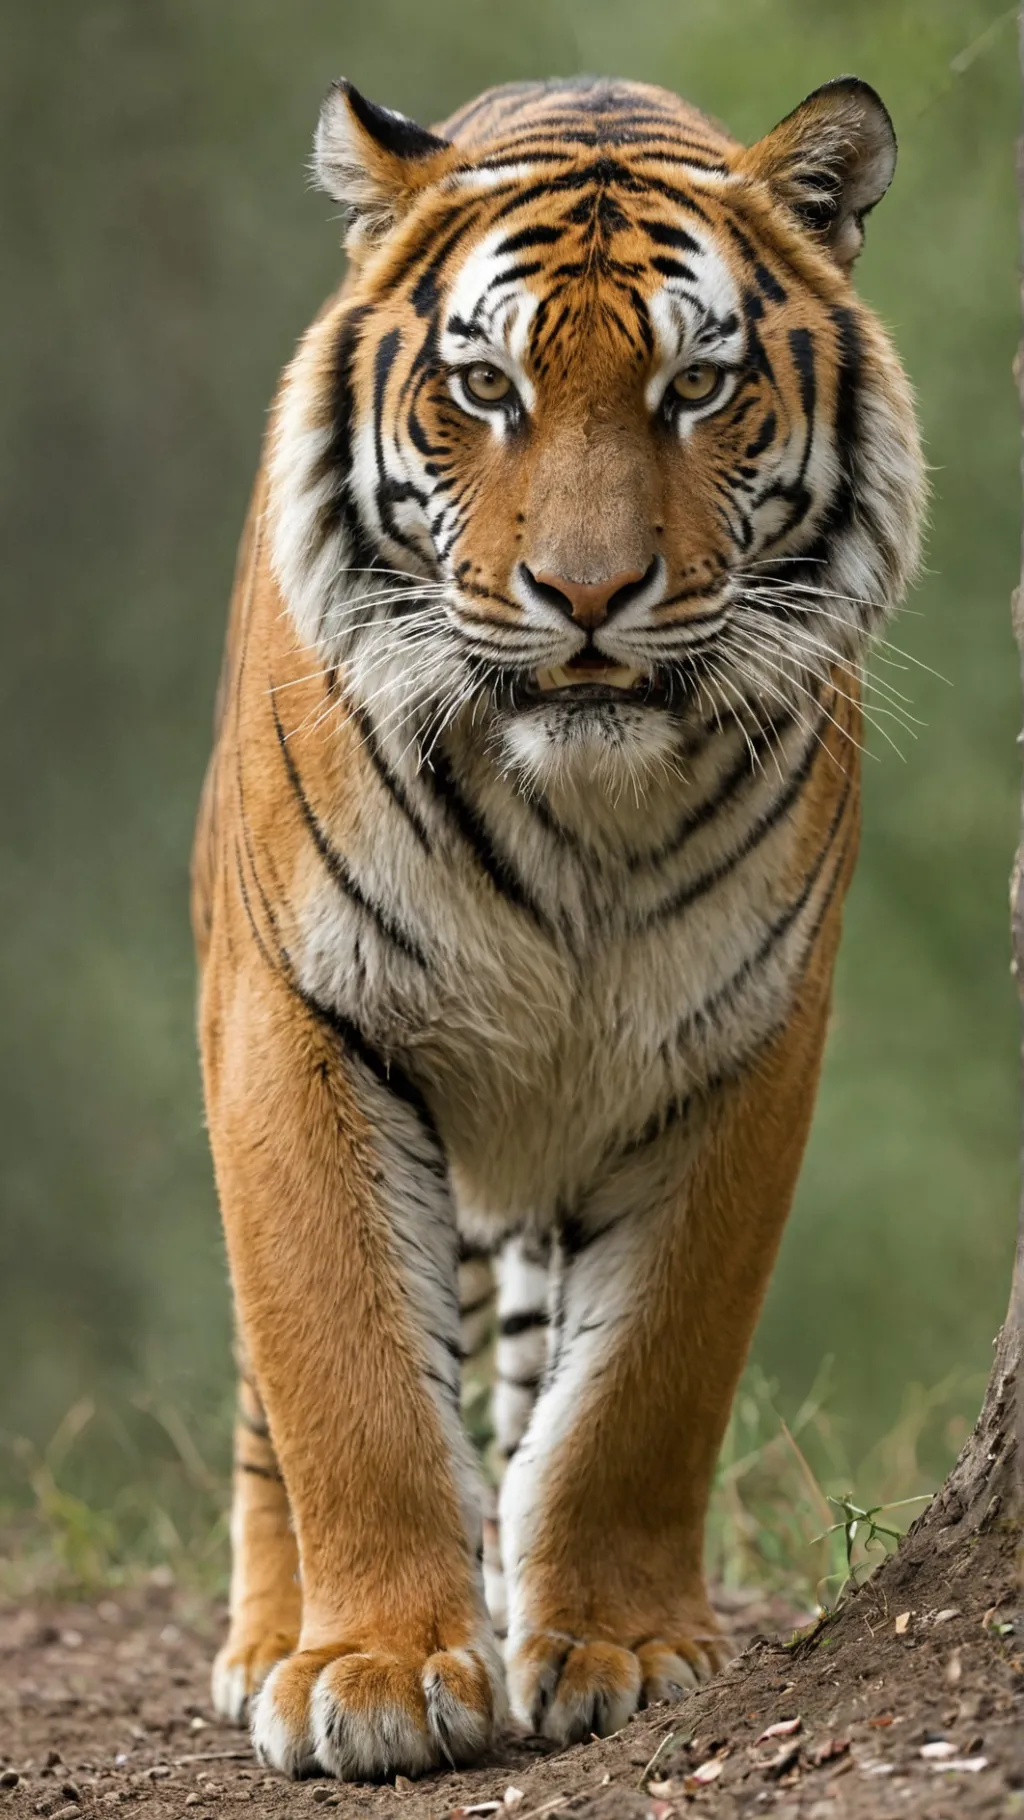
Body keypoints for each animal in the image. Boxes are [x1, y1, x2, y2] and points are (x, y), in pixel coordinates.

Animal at [192, 71, 924, 1782]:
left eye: (698, 386)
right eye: (485, 386)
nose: (585, 595)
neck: (581, 820)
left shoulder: (747, 1042)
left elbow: (642, 1387)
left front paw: (619, 1645)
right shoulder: (297, 1014)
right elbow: (342, 1369)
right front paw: (378, 1673)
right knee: (265, 1415)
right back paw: (267, 1639)